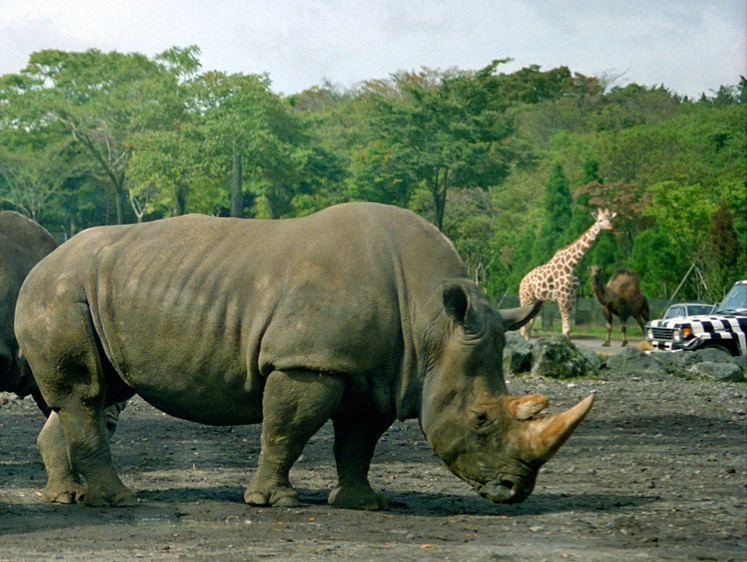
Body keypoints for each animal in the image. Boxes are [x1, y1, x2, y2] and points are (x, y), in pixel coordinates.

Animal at [520, 208, 620, 340]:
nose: (610, 227)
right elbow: (565, 329)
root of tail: (521, 283)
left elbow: (569, 330)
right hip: (526, 300)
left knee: (528, 327)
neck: (571, 265)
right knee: (523, 328)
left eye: (610, 218)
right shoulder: (563, 296)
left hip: (538, 304)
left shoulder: (572, 297)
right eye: (600, 220)